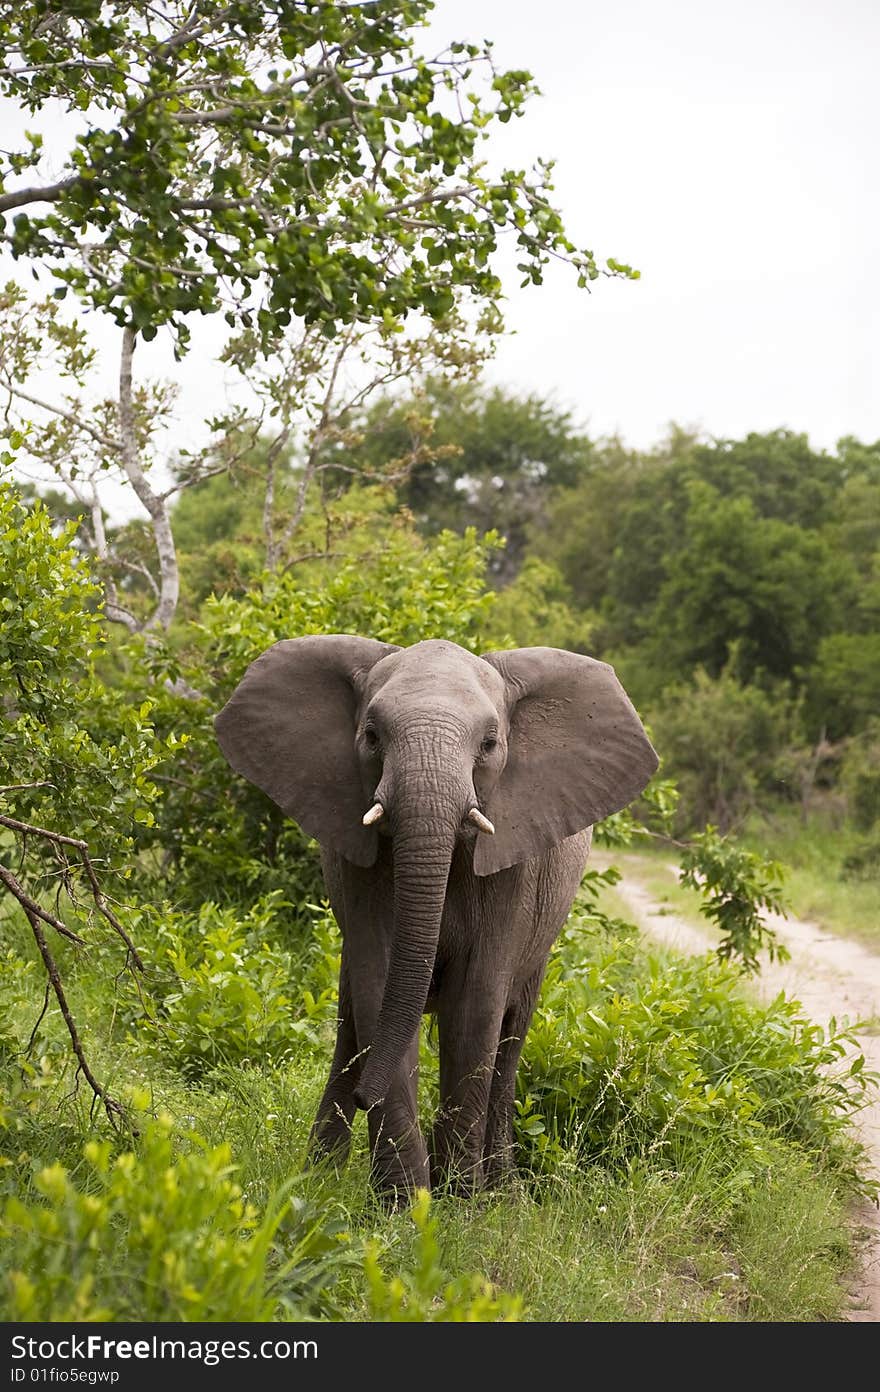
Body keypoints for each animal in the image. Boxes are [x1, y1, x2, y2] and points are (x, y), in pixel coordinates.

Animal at [211, 637, 654, 1202]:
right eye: (372, 736)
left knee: (511, 1034)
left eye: (489, 743)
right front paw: (404, 1205)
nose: (365, 1095)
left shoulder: (514, 868)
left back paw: (503, 1192)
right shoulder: (363, 869)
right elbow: (380, 989)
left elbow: (477, 1004)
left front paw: (460, 1204)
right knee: (352, 1021)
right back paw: (317, 1181)